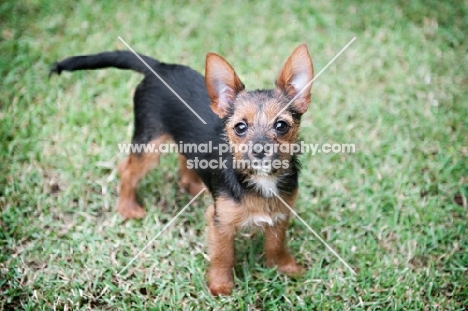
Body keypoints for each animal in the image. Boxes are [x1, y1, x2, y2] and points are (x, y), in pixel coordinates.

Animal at [51, 44, 314, 298]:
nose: (260, 150)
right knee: (127, 169)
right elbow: (223, 255)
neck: (259, 179)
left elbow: (276, 245)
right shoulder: (220, 222)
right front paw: (221, 285)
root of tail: (159, 66)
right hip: (149, 143)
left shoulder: (281, 214)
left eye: (281, 125)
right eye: (240, 127)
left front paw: (284, 267)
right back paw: (127, 207)